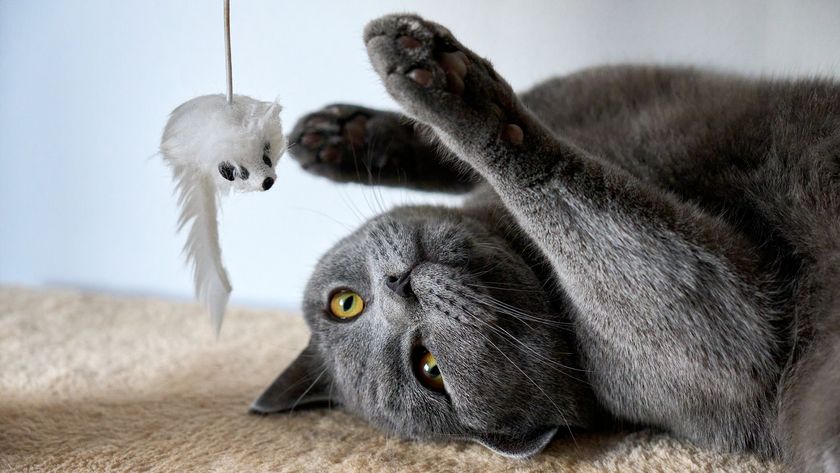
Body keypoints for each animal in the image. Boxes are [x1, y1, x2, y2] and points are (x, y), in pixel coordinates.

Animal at [251, 14, 840, 472]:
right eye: (430, 370)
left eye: (345, 303)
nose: (399, 286)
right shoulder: (725, 351)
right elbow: (553, 186)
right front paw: (455, 92)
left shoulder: (578, 95)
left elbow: (466, 150)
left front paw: (345, 134)